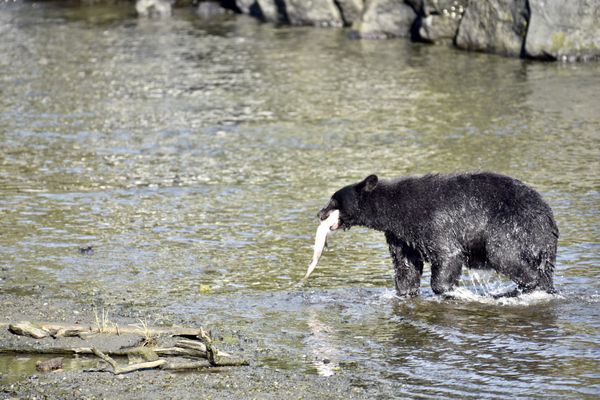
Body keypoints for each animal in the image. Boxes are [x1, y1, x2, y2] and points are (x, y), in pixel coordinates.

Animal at [318, 172, 556, 296]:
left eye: (333, 200)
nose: (320, 213)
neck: (395, 210)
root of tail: (548, 219)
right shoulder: (399, 235)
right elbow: (406, 266)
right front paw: (405, 291)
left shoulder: (434, 220)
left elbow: (448, 253)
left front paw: (446, 288)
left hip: (512, 227)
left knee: (504, 255)